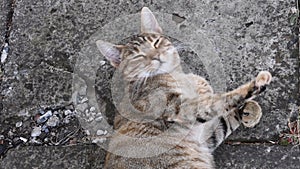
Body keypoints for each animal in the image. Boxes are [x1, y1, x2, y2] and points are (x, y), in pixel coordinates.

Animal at [96, 6, 272, 169]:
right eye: (138, 56)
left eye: (155, 43)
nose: (155, 56)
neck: (177, 75)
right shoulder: (183, 109)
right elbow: (222, 100)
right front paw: (256, 83)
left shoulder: (205, 137)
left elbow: (224, 118)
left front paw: (248, 110)